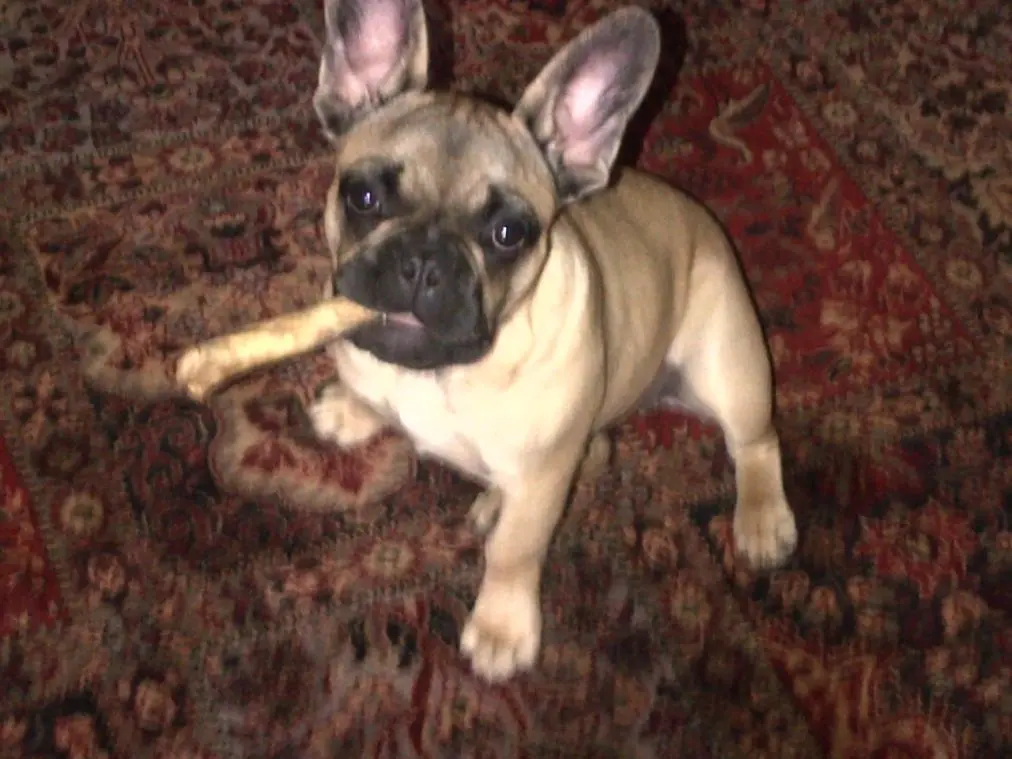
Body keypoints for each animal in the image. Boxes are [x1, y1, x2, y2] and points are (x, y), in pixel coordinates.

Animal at [307, 0, 798, 682]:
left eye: (509, 233)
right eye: (364, 196)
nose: (425, 262)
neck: (441, 374)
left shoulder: (541, 478)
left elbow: (515, 553)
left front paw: (501, 628)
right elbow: (369, 394)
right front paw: (354, 411)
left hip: (727, 365)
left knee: (755, 441)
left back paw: (760, 520)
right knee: (597, 452)